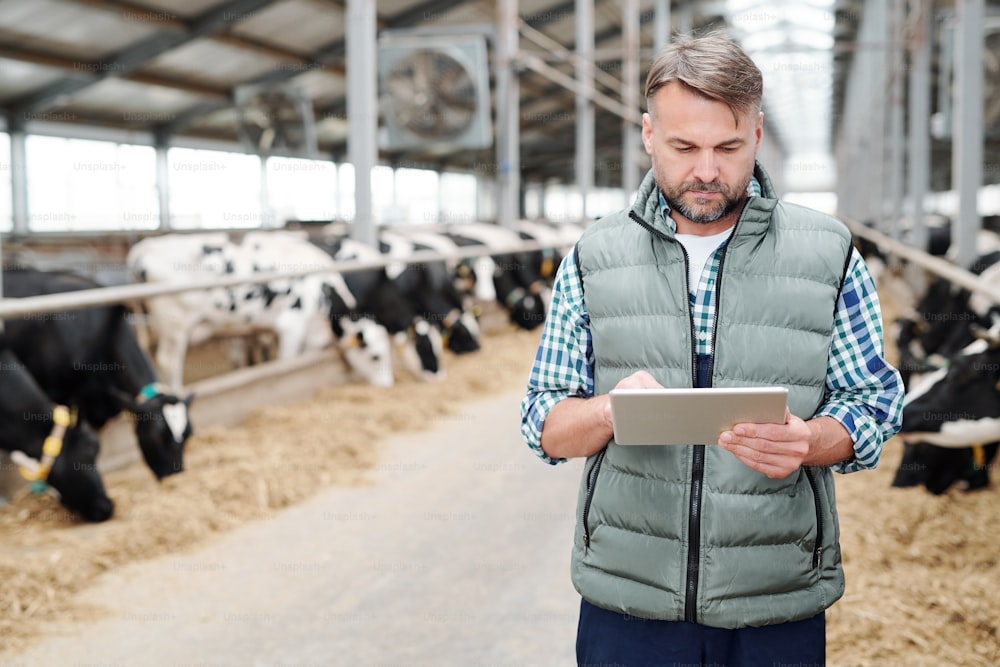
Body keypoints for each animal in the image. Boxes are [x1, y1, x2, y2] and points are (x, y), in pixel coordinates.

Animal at [131, 232, 396, 388]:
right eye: (376, 356)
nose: (388, 384)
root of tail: (146, 247)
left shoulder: (310, 333)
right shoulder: (292, 326)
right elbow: (288, 361)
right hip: (175, 325)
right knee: (168, 362)